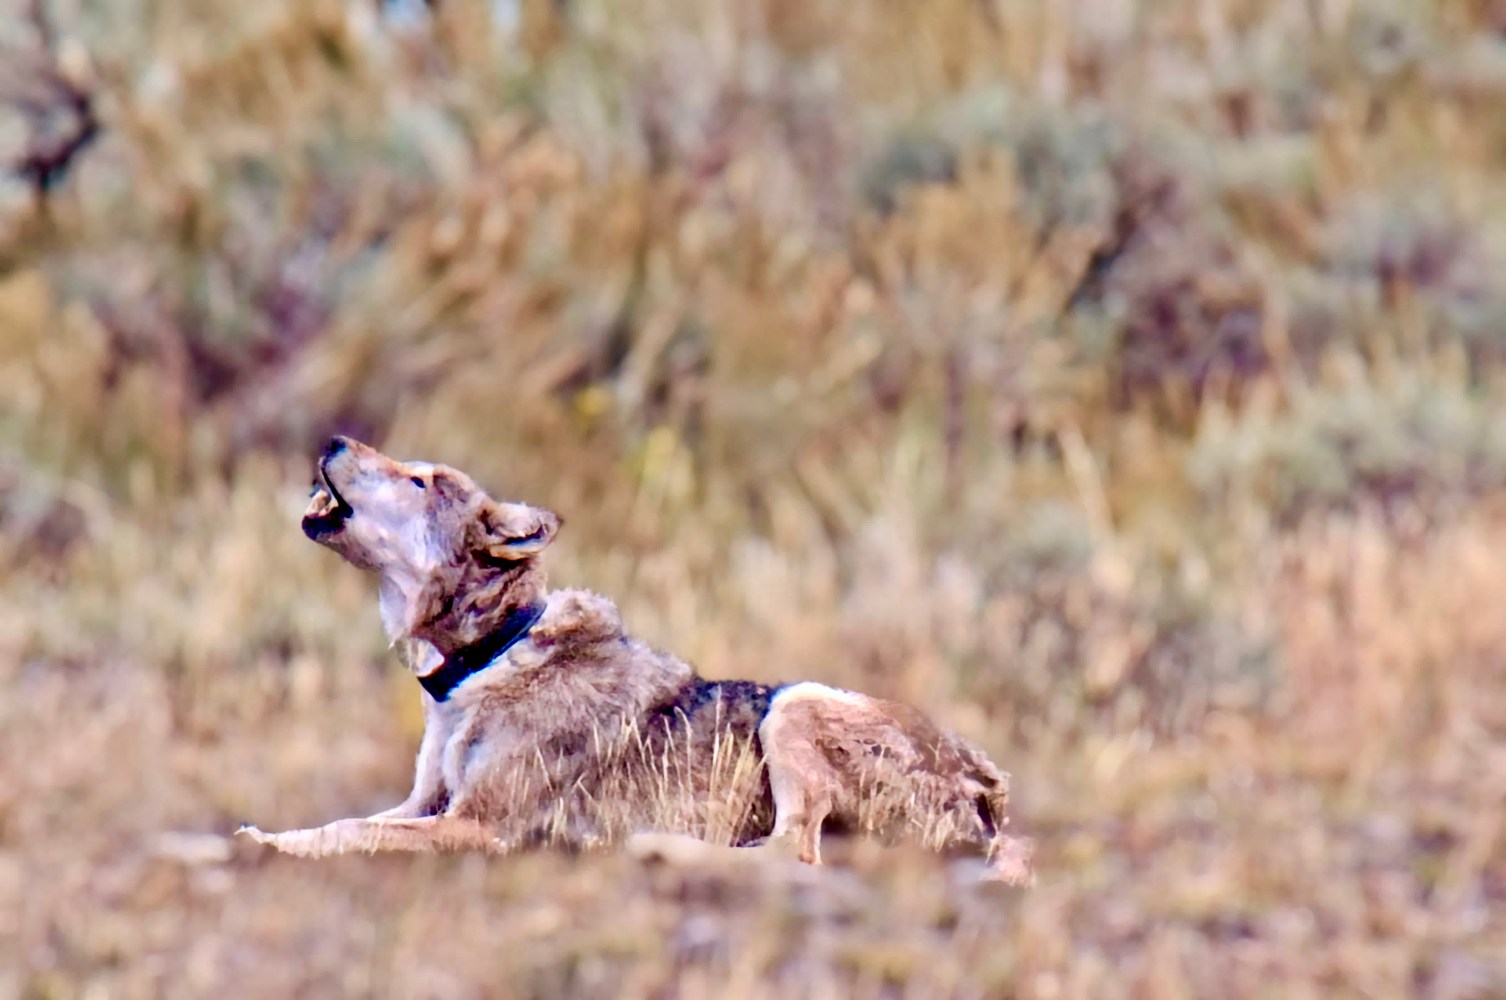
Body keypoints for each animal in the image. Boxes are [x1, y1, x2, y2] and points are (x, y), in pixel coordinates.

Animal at [237, 436, 1036, 885]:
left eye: (420, 480)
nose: (334, 437)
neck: (489, 658)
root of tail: (992, 794)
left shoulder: (476, 826)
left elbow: (352, 833)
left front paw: (268, 848)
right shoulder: (424, 804)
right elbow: (344, 822)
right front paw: (267, 838)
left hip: (795, 701)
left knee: (793, 854)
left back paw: (656, 850)